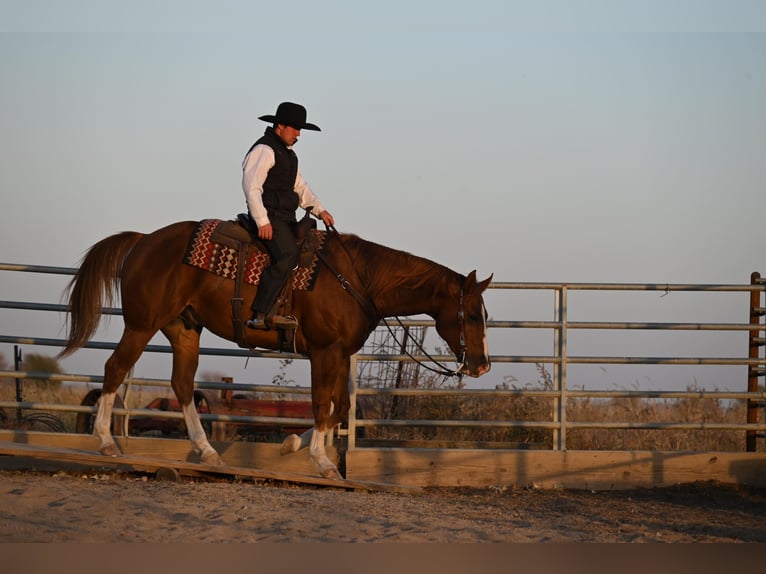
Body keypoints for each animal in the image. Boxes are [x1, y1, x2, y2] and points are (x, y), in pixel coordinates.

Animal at [58, 223, 492, 480]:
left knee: (182, 385)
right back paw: (107, 442)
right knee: (115, 368)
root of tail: (144, 240)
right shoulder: (324, 352)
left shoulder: (338, 354)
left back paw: (207, 452)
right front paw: (322, 462)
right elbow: (322, 404)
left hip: (183, 329)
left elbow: (340, 407)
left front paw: (293, 445)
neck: (357, 280)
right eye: (471, 314)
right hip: (142, 324)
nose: (482, 366)